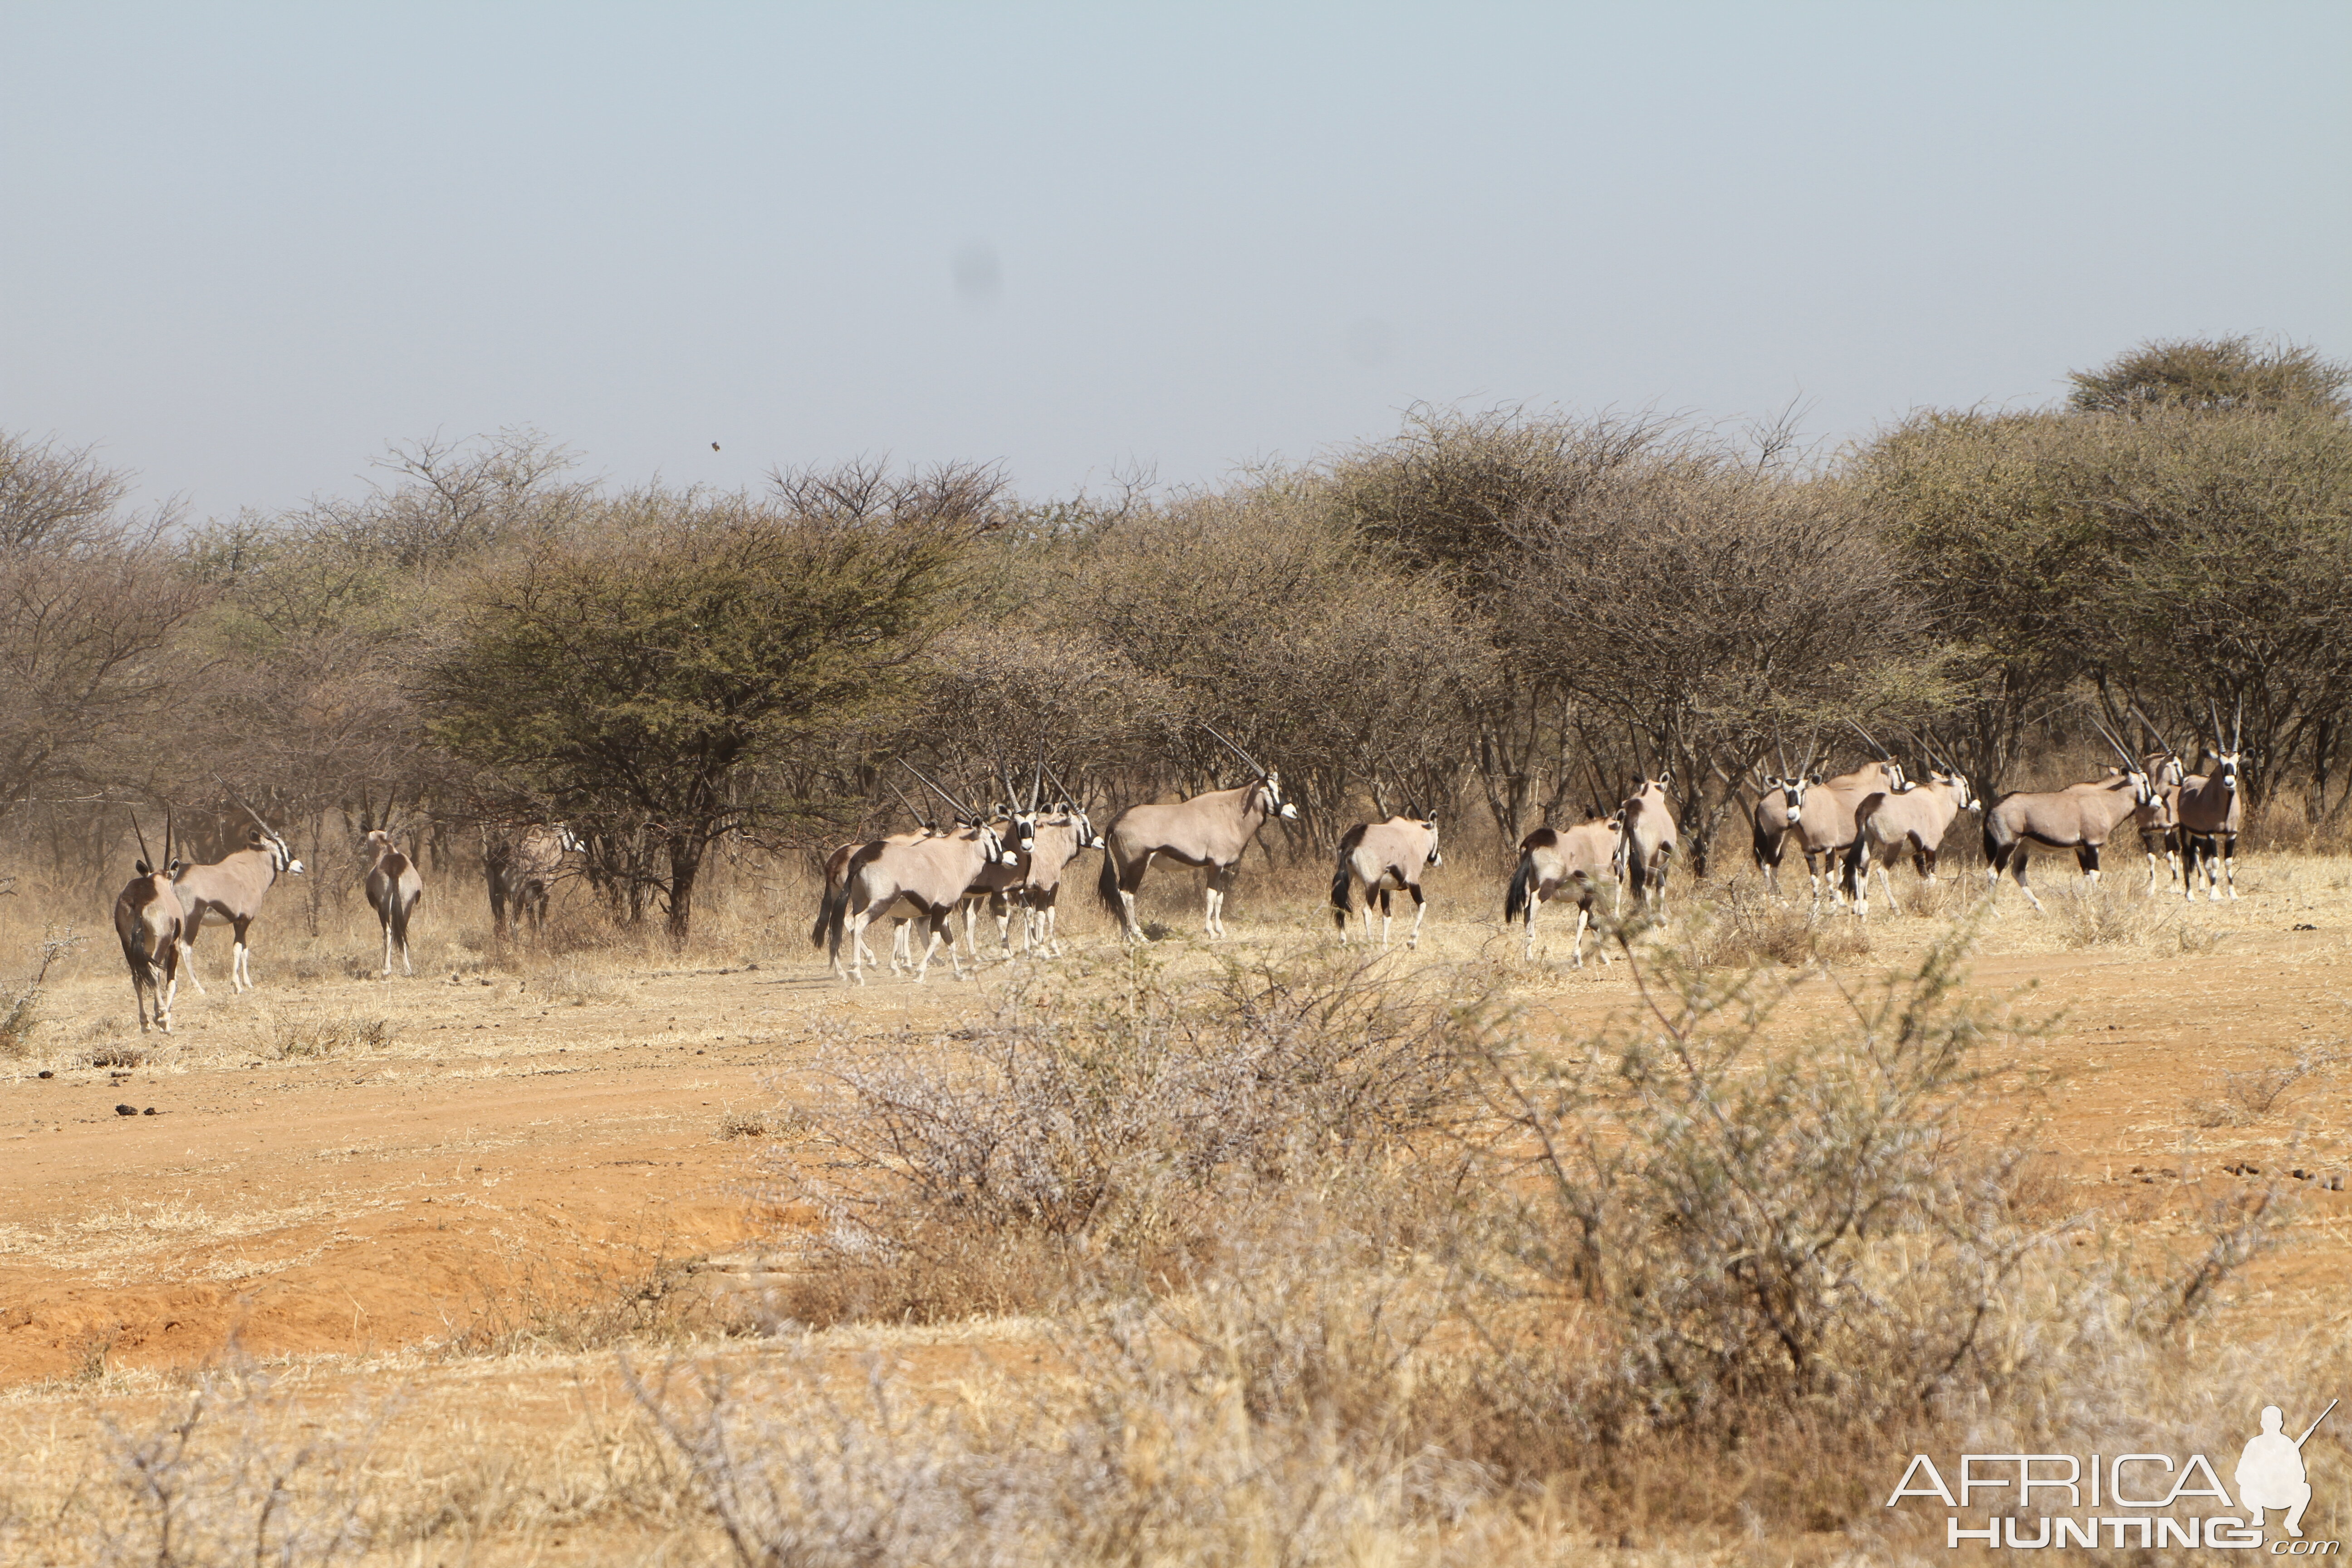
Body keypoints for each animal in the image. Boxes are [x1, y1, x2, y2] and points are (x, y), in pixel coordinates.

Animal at [364, 827, 426, 973]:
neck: (388, 851)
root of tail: (395, 868)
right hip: (406, 905)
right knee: (402, 931)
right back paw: (407, 969)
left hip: (384, 907)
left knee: (388, 932)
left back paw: (386, 970)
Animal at [1336, 818, 1439, 950]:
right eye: (1437, 835)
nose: (1438, 861)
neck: (1413, 838)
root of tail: (1355, 839)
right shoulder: (1413, 881)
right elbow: (1423, 905)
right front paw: (1412, 942)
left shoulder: (1385, 888)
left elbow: (1387, 916)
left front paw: (1384, 947)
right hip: (1372, 884)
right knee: (1367, 911)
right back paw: (1370, 944)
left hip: (1346, 878)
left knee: (1341, 906)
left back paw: (1342, 942)